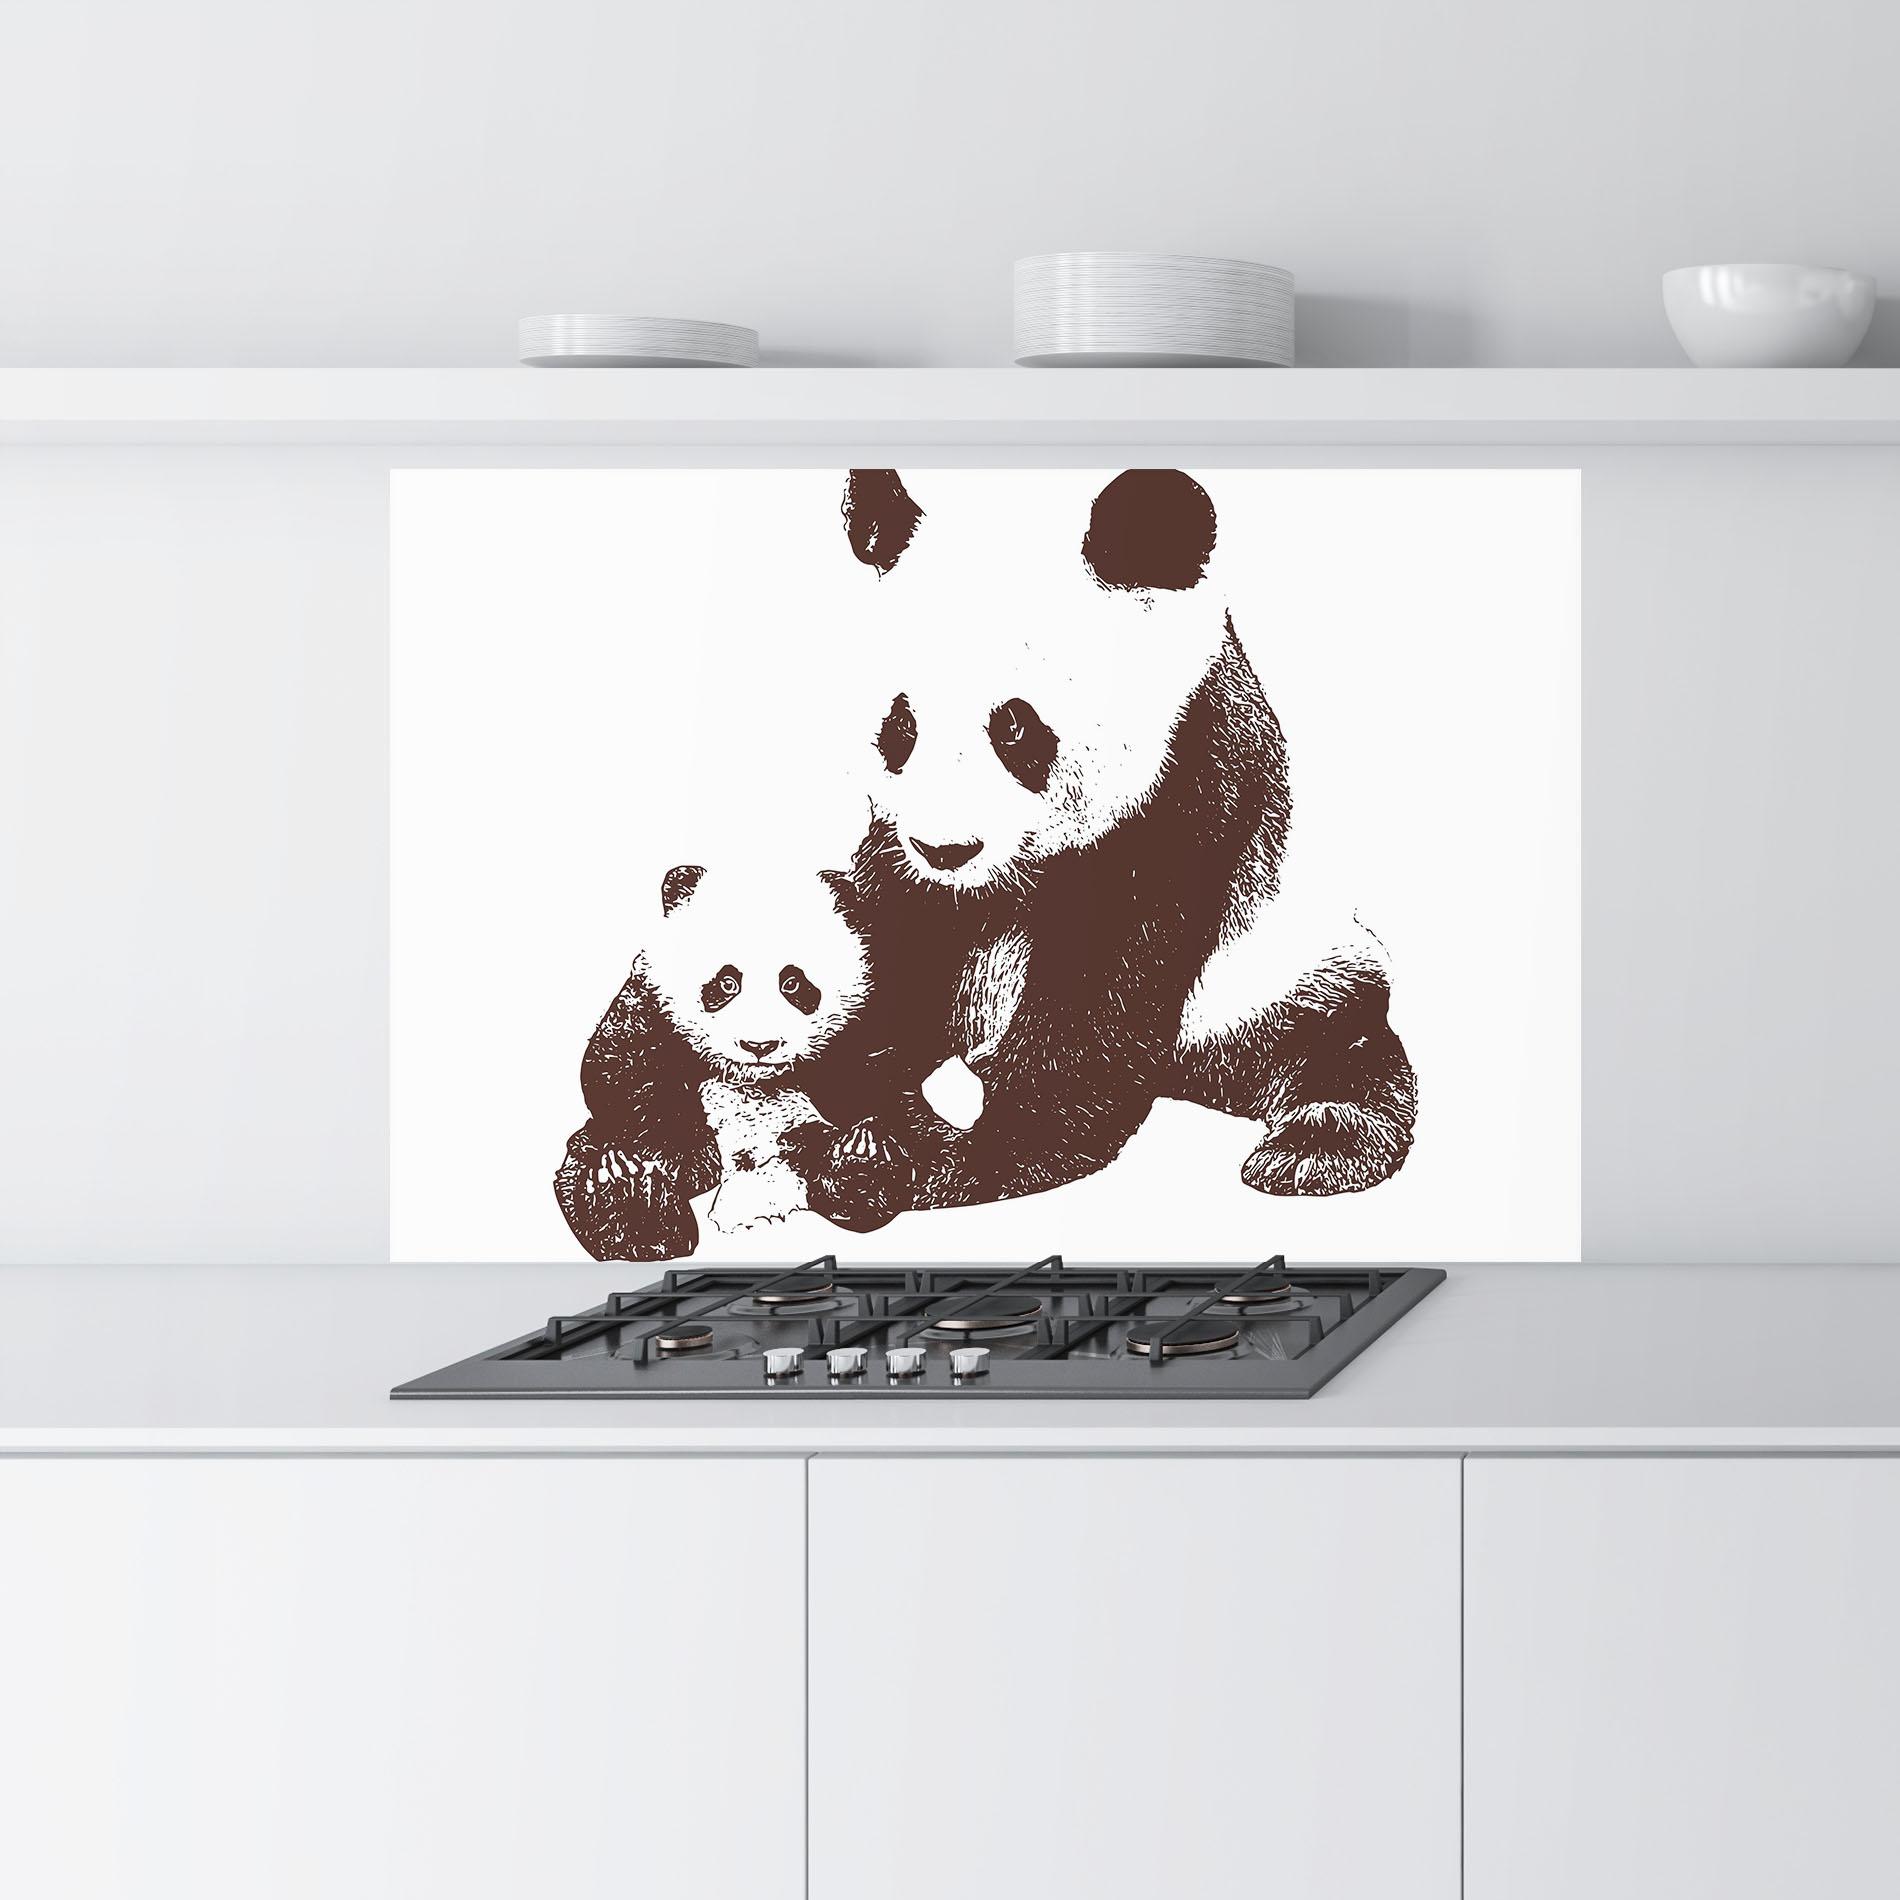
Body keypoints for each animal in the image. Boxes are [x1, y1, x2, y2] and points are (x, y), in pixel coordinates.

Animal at [554, 860, 912, 1259]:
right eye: (727, 983)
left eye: (792, 983)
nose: (759, 1045)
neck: (752, 1081)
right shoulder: (651, 1005)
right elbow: (620, 1070)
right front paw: (693, 1160)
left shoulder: (861, 1028)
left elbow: (875, 1086)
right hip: (598, 1144)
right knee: (586, 1163)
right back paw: (630, 1197)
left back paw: (860, 1162)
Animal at [800, 466, 1418, 1226]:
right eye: (901, 727)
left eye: (1015, 726)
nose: (946, 849)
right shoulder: (898, 852)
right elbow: (891, 949)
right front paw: (873, 1124)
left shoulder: (1188, 793)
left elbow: (1100, 996)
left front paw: (954, 1159)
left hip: (1288, 976)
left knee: (1342, 1054)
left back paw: (1310, 1150)